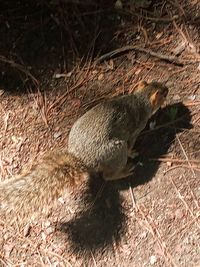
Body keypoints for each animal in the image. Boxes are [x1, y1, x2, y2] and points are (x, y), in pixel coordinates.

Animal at [0, 81, 169, 218]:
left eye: (157, 83)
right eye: (162, 92)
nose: (167, 88)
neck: (139, 99)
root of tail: (82, 160)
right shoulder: (134, 131)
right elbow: (130, 144)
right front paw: (132, 152)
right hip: (115, 152)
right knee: (107, 176)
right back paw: (124, 171)